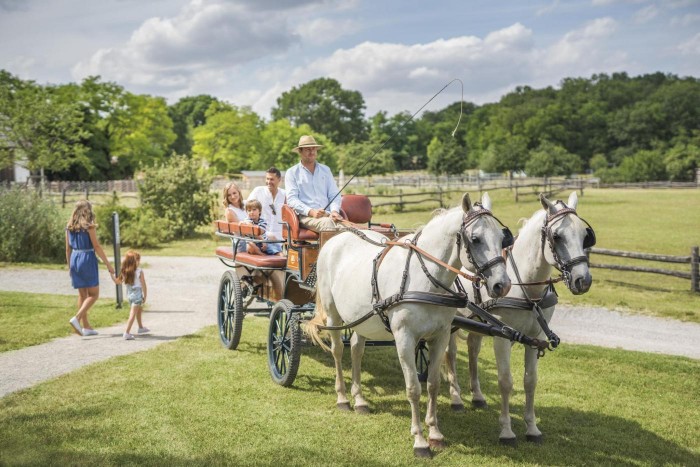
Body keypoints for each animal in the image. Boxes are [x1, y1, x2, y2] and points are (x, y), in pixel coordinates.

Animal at [304, 193, 508, 458]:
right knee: (338, 351)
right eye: (475, 239)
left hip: (362, 319)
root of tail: (336, 239)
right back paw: (343, 398)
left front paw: (435, 433)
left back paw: (359, 400)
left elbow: (432, 384)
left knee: (357, 350)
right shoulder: (404, 338)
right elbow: (413, 388)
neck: (425, 279)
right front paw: (420, 440)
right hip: (332, 314)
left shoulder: (440, 336)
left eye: (503, 238)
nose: (502, 285)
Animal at [446, 193, 592, 446]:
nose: (583, 280)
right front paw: (506, 431)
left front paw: (532, 428)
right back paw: (456, 398)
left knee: (473, 350)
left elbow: (530, 381)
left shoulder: (536, 337)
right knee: (451, 354)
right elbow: (506, 381)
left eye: (585, 235)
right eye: (557, 236)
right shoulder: (502, 337)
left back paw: (477, 395)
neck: (523, 284)